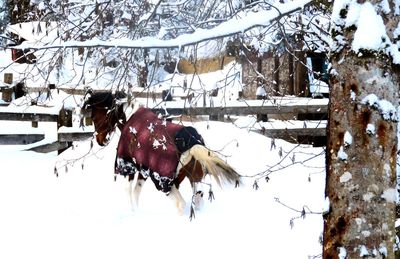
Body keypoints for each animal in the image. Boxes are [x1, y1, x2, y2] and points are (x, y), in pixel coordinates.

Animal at [82, 91, 241, 217]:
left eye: (94, 117)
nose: (100, 140)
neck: (131, 120)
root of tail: (193, 143)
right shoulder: (144, 169)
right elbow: (137, 191)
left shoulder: (129, 166)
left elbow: (128, 190)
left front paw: (133, 212)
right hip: (195, 180)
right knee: (196, 202)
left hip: (164, 183)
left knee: (181, 204)